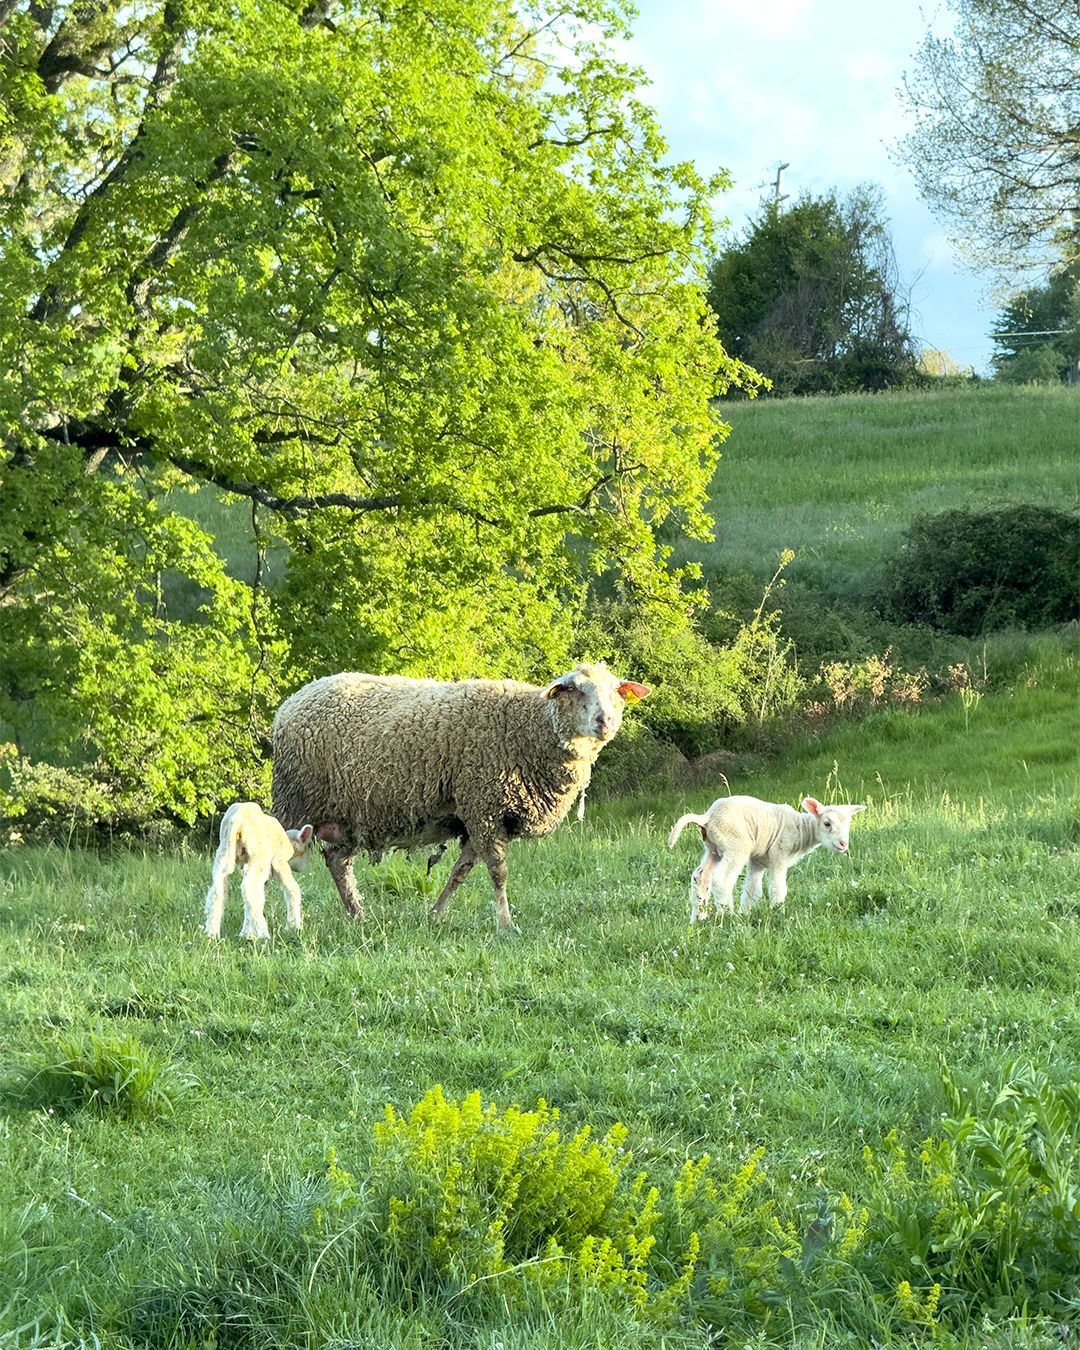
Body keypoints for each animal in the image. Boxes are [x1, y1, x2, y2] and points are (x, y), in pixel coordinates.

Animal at [202, 799, 314, 939]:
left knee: (219, 891)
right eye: (307, 847)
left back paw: (212, 934)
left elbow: (257, 899)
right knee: (249, 889)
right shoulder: (280, 861)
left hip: (223, 852)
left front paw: (245, 933)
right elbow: (292, 889)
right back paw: (264, 934)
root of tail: (238, 817)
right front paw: (294, 926)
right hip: (258, 854)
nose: (304, 867)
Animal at [270, 661, 650, 928]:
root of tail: (291, 702)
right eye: (575, 690)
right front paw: (506, 924)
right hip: (295, 799)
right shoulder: (484, 807)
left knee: (338, 863)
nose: (605, 721)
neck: (528, 729)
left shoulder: (477, 816)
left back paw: (358, 916)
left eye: (617, 692)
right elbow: (498, 872)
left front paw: (435, 915)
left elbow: (461, 871)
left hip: (345, 816)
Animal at [666, 793, 869, 923]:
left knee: (700, 877)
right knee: (722, 880)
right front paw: (777, 912)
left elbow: (752, 891)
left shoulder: (757, 861)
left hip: (713, 849)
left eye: (848, 824)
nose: (843, 844)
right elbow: (777, 888)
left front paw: (746, 914)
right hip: (736, 845)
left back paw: (697, 919)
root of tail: (707, 817)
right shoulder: (779, 854)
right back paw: (727, 916)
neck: (800, 829)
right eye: (827, 823)